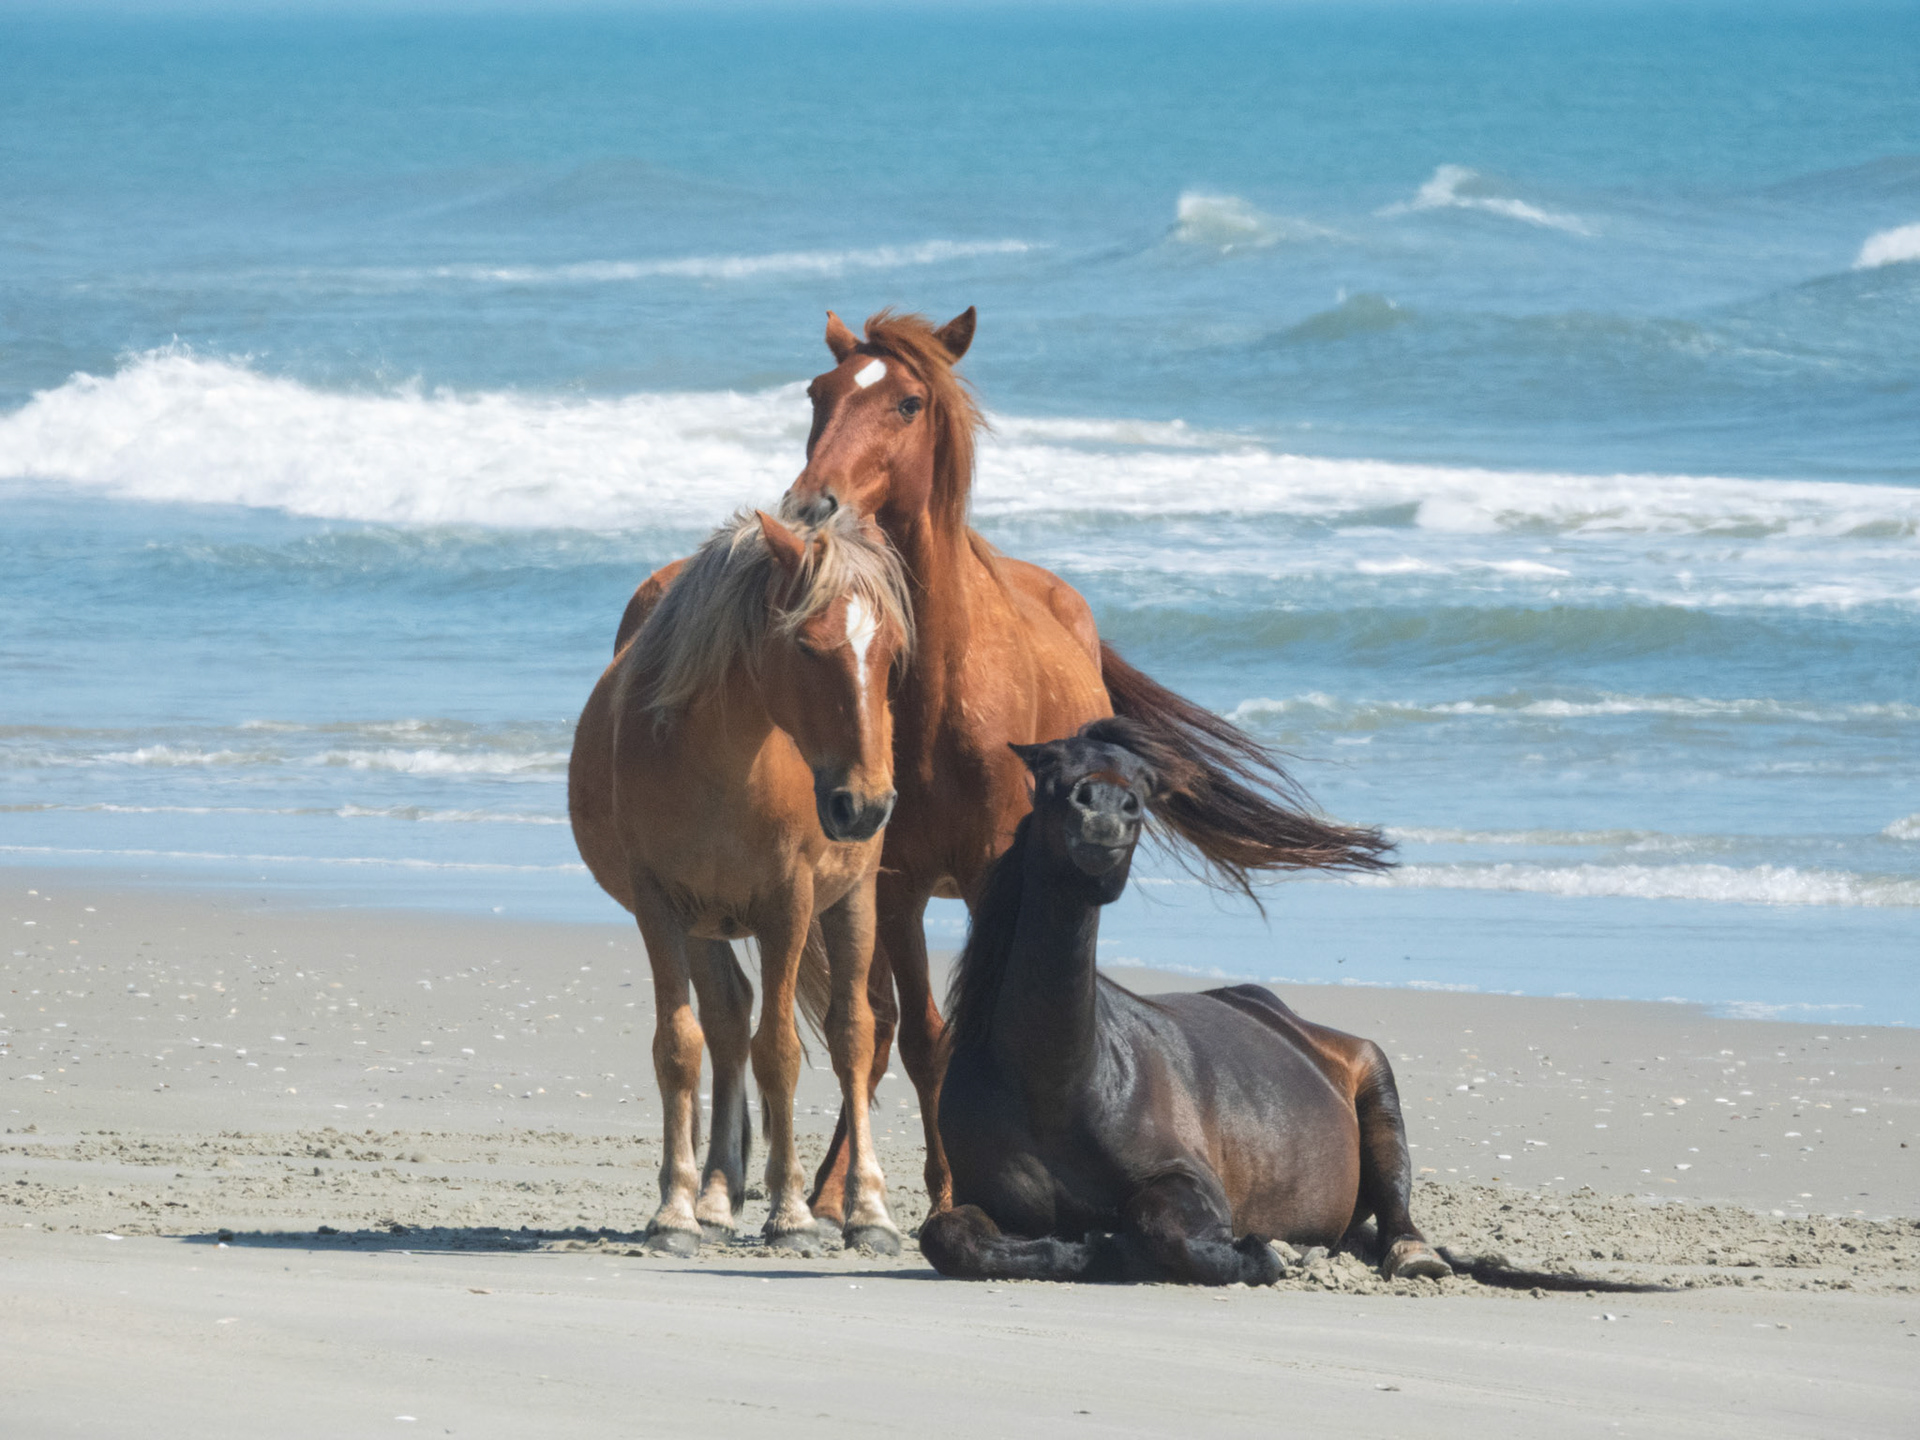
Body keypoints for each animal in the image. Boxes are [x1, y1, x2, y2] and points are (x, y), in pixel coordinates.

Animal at [568, 507, 913, 1255]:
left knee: (853, 1034)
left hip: (854, 899)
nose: (864, 806)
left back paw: (869, 1211)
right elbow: (682, 1045)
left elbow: (779, 1052)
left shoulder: (790, 903)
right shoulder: (659, 904)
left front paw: (791, 1214)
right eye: (808, 647)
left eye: (893, 653)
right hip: (706, 924)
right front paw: (676, 1210)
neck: (728, 761)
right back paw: (716, 1199)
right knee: (727, 1021)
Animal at [917, 718, 1455, 1285]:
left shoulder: (1189, 1182)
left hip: (1378, 1083)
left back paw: (1409, 1254)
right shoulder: (982, 1196)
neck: (1056, 1084)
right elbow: (946, 1236)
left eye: (1146, 780)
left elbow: (1156, 1224)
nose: (1106, 807)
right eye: (1047, 764)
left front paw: (1256, 1255)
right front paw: (1083, 1249)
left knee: (1397, 1208)